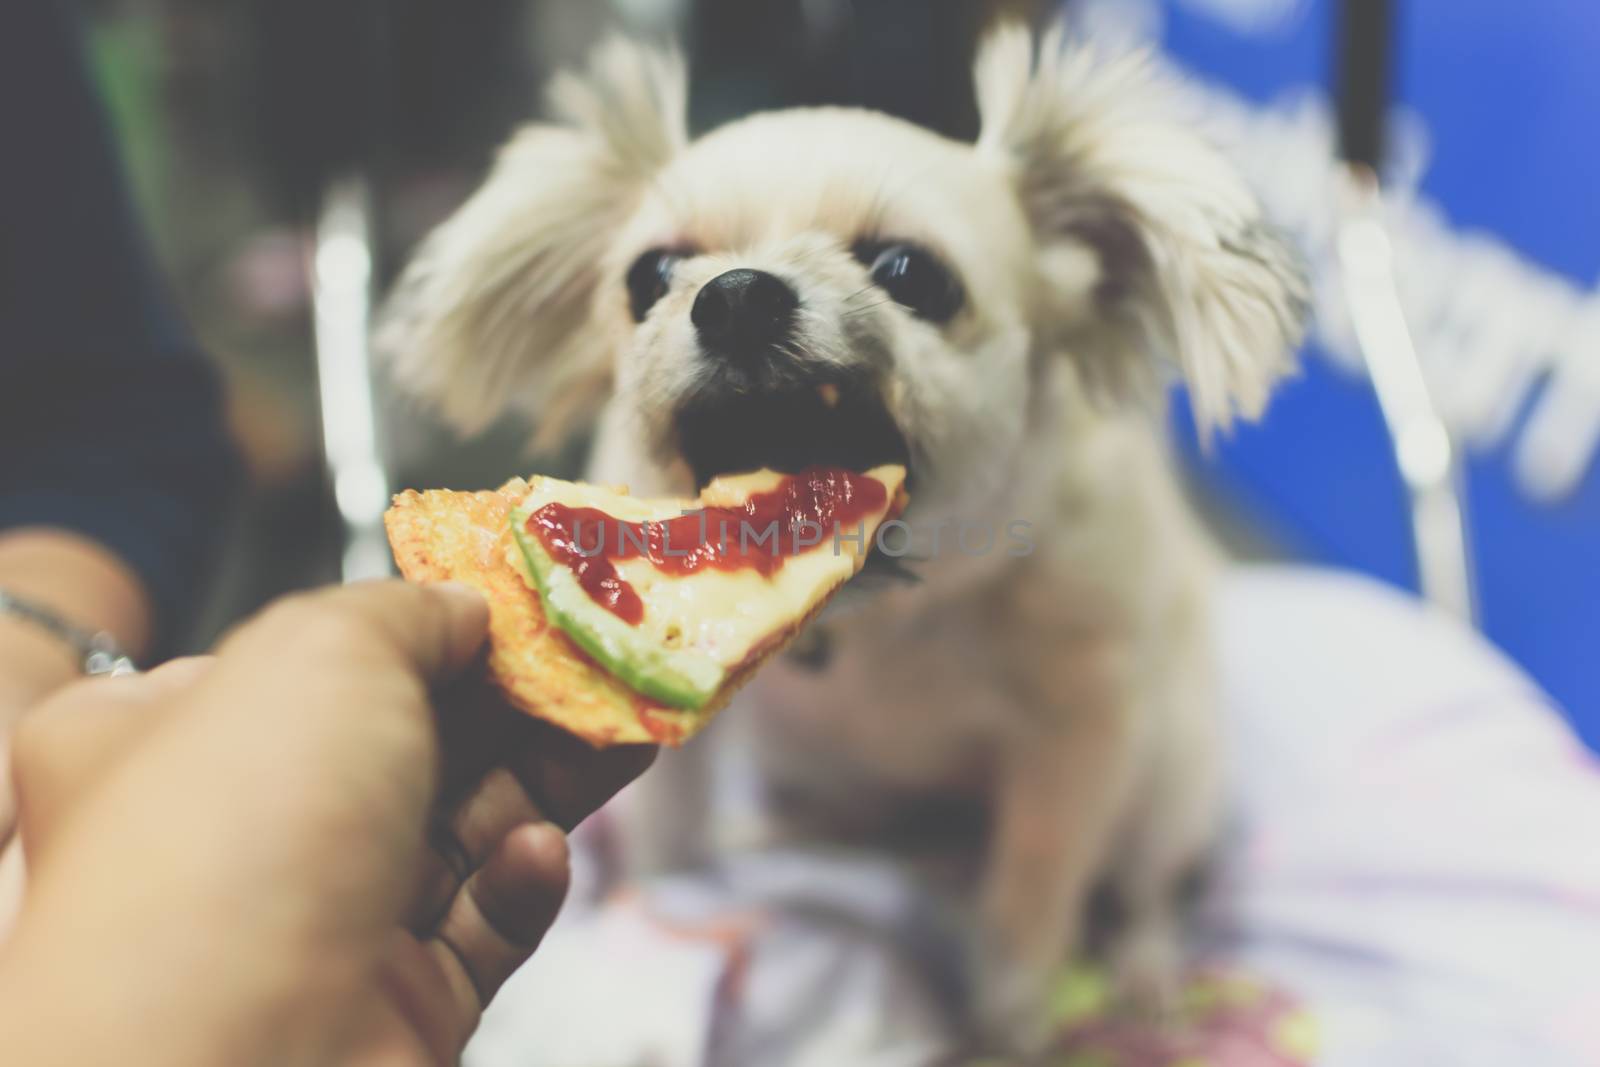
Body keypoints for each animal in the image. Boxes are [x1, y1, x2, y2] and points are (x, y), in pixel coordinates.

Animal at [380, 22, 1305, 1049]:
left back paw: (1146, 969)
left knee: (1147, 885)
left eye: (911, 273)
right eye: (648, 277)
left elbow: (1030, 908)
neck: (885, 620)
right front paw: (666, 907)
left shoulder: (1076, 744)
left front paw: (1011, 1023)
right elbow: (670, 840)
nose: (736, 295)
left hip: (1169, 778)